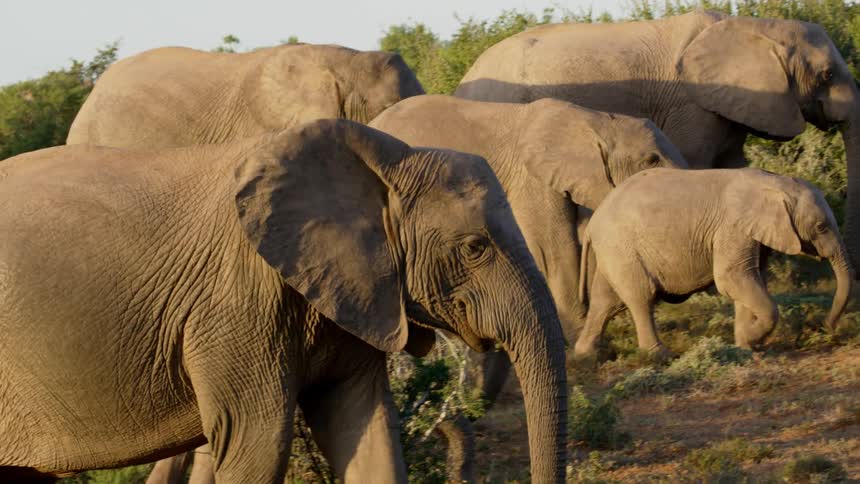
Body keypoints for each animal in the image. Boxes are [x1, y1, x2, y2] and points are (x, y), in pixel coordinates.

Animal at [0, 119, 568, 483]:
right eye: (474, 248)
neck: (389, 160)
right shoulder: (235, 303)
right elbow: (257, 446)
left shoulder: (354, 291)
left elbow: (367, 430)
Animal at [576, 167, 853, 357]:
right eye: (821, 227)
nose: (825, 327)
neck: (774, 182)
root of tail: (593, 222)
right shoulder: (732, 228)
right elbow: (732, 277)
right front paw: (752, 340)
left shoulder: (750, 232)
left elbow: (747, 279)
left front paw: (746, 347)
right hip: (622, 248)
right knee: (641, 297)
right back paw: (659, 355)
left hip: (614, 251)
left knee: (605, 301)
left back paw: (585, 355)